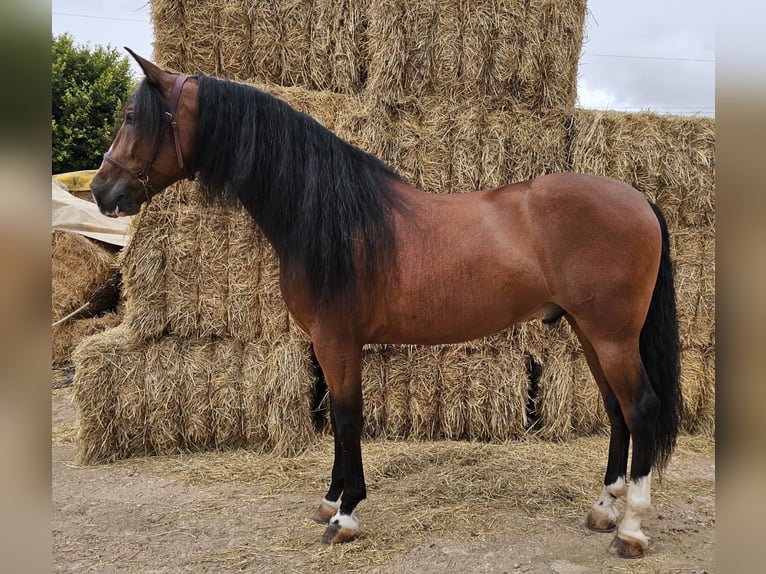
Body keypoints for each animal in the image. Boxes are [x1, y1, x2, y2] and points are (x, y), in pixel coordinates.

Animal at [90, 51, 684, 560]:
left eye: (133, 117)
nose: (101, 190)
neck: (330, 217)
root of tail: (639, 199)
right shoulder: (325, 343)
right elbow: (335, 418)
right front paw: (330, 500)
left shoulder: (337, 340)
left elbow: (347, 417)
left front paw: (345, 515)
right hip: (590, 331)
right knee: (616, 411)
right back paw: (604, 509)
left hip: (611, 335)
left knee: (641, 409)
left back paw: (631, 529)